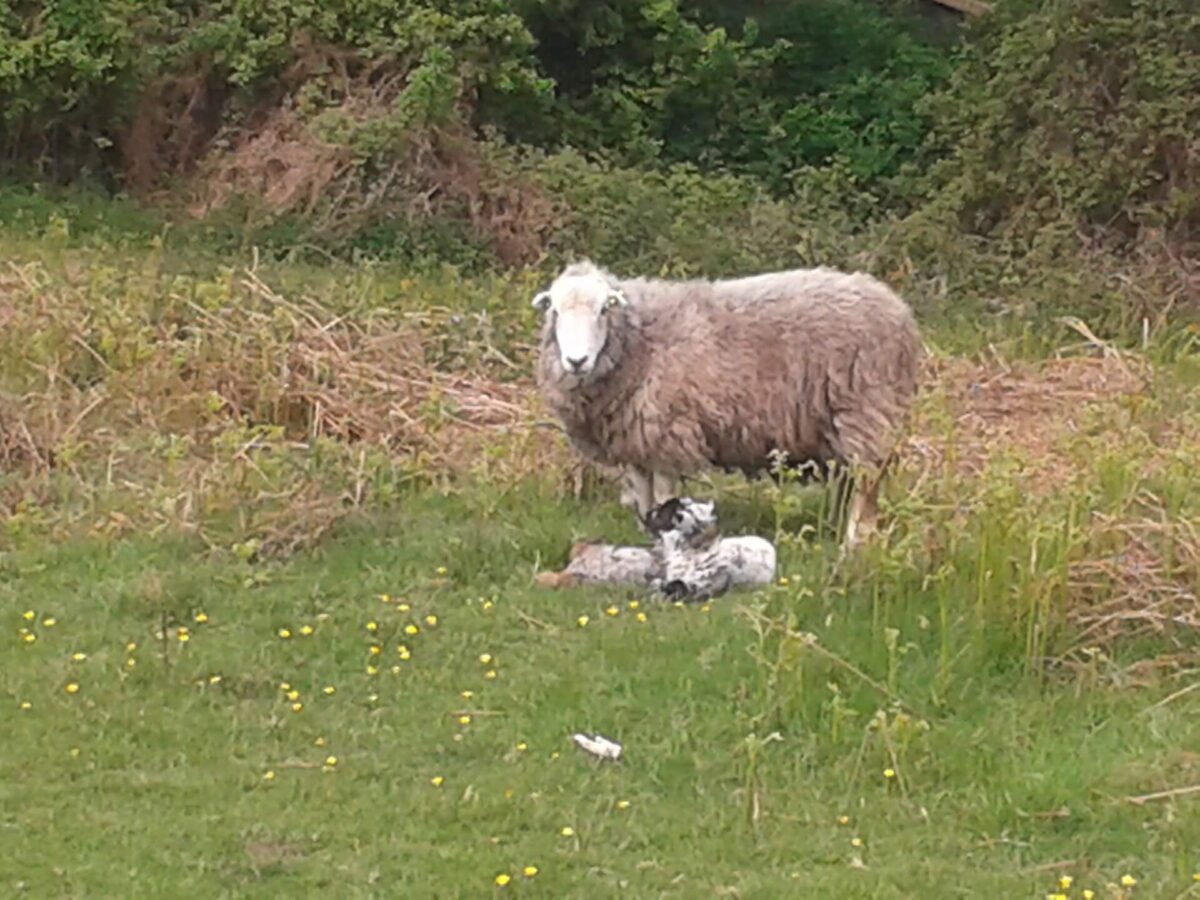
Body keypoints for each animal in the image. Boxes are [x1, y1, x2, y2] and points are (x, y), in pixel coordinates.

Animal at [530, 256, 921, 547]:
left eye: (603, 310)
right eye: (555, 311)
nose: (576, 361)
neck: (642, 342)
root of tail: (899, 310)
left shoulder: (668, 433)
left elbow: (663, 495)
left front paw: (665, 537)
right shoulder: (634, 439)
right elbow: (642, 497)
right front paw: (646, 534)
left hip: (868, 409)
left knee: (868, 481)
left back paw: (855, 541)